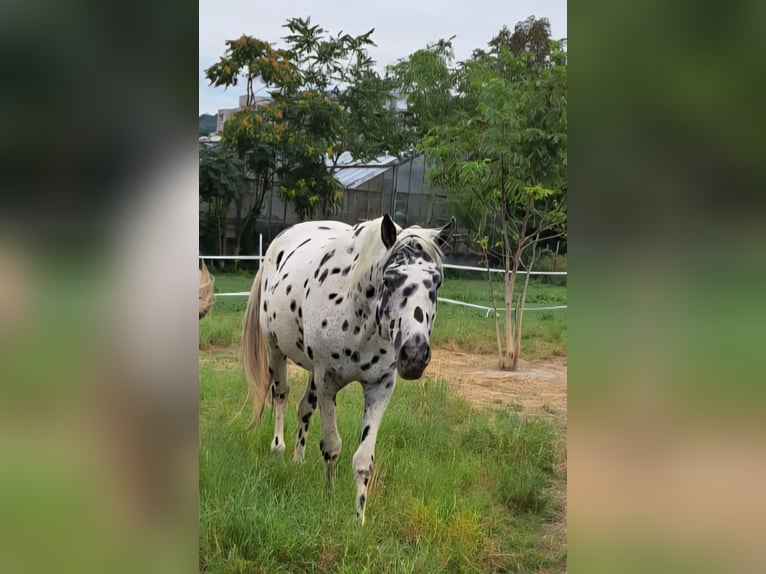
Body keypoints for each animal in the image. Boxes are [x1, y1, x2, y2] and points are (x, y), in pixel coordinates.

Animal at [241, 214, 455, 524]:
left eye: (436, 282)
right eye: (389, 280)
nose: (414, 355)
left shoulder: (380, 387)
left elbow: (364, 460)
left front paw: (358, 520)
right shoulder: (327, 380)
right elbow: (332, 447)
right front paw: (329, 501)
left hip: (312, 374)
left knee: (304, 408)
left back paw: (297, 460)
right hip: (275, 350)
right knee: (280, 395)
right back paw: (278, 451)